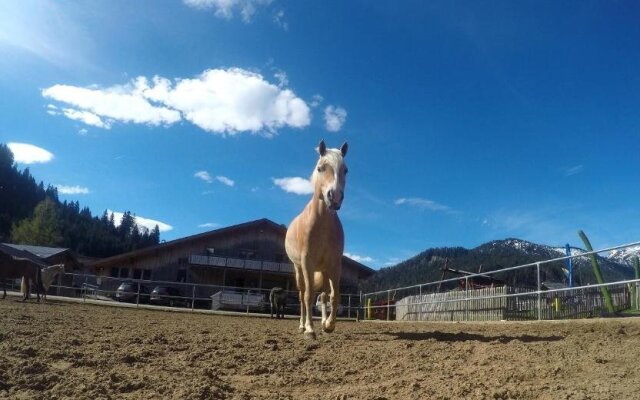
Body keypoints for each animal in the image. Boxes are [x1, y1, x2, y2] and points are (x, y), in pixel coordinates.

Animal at [284, 139, 348, 340]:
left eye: (345, 170)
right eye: (321, 168)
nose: (334, 197)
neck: (323, 225)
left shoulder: (334, 264)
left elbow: (334, 296)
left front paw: (329, 325)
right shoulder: (307, 263)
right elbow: (309, 296)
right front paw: (310, 329)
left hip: (324, 270)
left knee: (324, 296)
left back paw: (323, 323)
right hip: (299, 269)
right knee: (303, 295)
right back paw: (302, 325)